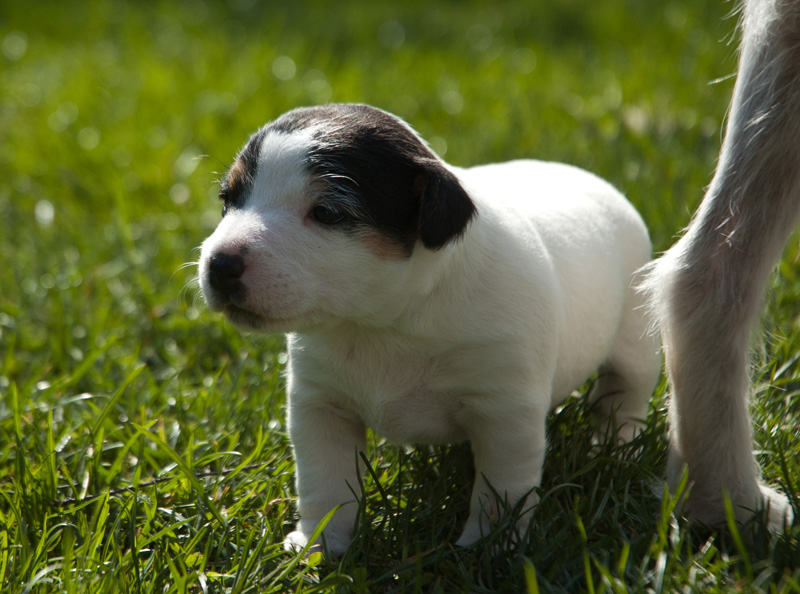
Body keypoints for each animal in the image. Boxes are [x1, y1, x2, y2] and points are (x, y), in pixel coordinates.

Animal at [197, 104, 660, 552]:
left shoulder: (506, 413)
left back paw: (617, 447)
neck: (381, 322)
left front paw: (488, 548)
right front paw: (320, 543)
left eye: (327, 212)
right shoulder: (320, 406)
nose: (219, 265)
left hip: (635, 344)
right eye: (228, 200)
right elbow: (325, 481)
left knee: (626, 395)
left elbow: (500, 490)